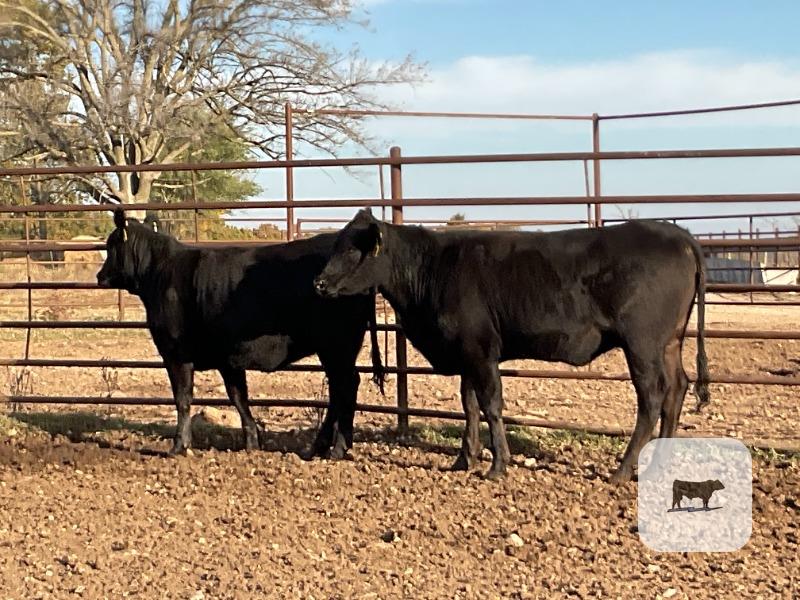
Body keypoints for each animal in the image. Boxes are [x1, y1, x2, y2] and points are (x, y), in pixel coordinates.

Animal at [96, 209, 384, 458]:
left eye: (111, 246)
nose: (99, 276)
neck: (162, 274)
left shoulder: (176, 354)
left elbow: (183, 399)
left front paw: (179, 446)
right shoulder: (228, 359)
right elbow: (238, 397)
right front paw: (252, 442)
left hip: (337, 346)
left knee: (346, 385)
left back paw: (336, 448)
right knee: (340, 389)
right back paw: (320, 447)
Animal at [313, 209, 710, 483]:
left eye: (352, 250)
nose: (318, 283)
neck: (433, 270)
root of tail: (678, 234)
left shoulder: (482, 351)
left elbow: (491, 405)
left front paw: (498, 465)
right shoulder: (467, 354)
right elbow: (469, 405)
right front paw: (464, 459)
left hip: (642, 344)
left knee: (652, 397)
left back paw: (624, 470)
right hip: (669, 343)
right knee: (676, 390)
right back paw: (659, 463)